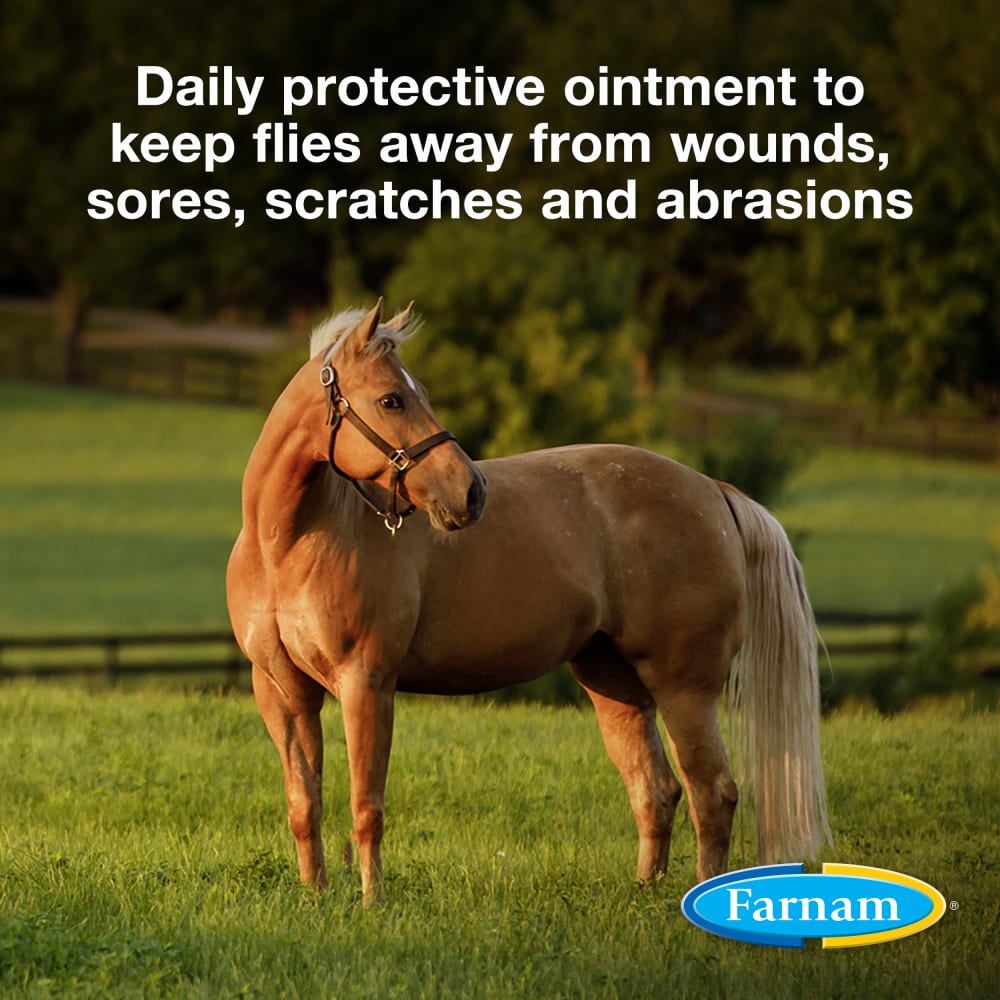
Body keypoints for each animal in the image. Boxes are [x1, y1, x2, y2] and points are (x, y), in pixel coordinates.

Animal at [226, 299, 831, 906]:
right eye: (392, 398)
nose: (470, 492)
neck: (290, 542)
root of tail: (713, 491)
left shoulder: (367, 681)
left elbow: (365, 805)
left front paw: (372, 902)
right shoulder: (282, 692)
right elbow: (304, 803)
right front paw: (316, 896)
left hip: (685, 686)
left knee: (714, 793)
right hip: (613, 682)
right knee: (656, 789)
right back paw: (644, 890)